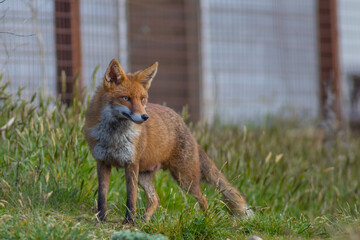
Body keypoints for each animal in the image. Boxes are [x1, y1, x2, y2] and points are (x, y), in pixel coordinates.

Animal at [84, 59, 250, 222]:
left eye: (142, 99)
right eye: (126, 98)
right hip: (144, 175)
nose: (145, 117)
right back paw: (144, 220)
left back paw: (206, 220)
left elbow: (131, 199)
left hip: (184, 178)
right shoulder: (103, 162)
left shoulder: (131, 164)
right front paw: (101, 219)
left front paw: (129, 222)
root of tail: (185, 125)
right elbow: (102, 196)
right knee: (155, 199)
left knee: (203, 197)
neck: (113, 137)